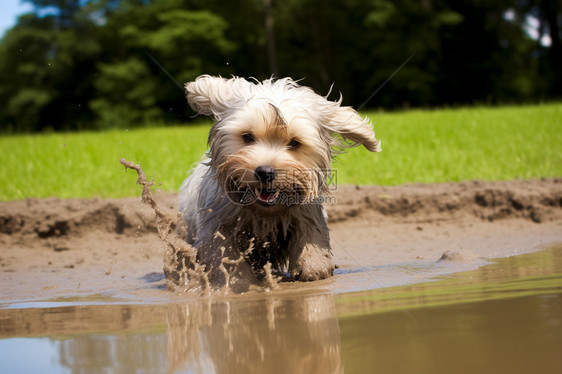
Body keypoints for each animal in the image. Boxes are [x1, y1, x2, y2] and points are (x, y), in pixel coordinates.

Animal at [178, 74, 380, 290]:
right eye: (247, 137)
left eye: (294, 142)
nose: (265, 172)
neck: (264, 212)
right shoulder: (216, 223)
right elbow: (225, 254)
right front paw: (238, 280)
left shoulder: (307, 213)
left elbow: (312, 238)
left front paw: (313, 265)